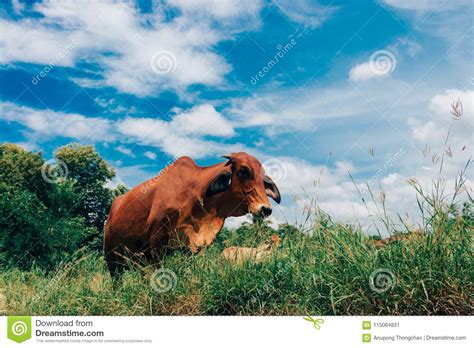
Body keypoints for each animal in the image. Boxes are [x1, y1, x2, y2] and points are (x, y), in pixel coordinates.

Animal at [103, 152, 280, 274]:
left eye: (262, 179)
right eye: (244, 170)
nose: (266, 209)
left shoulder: (194, 246)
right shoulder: (156, 241)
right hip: (112, 260)